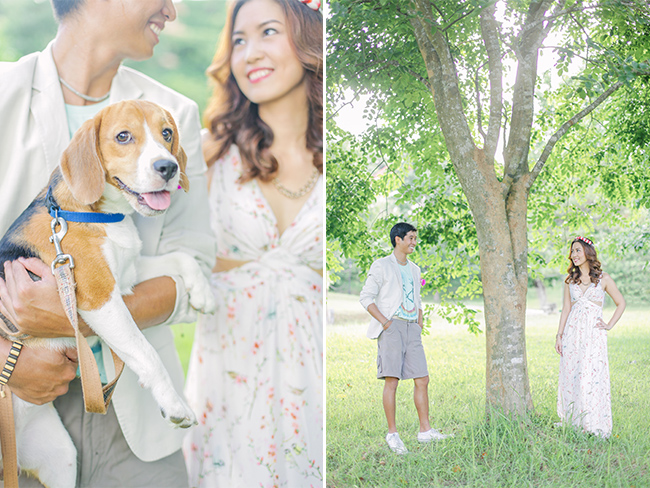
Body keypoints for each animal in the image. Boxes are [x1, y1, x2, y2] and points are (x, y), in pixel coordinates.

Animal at [0, 100, 215, 488]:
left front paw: (203, 293)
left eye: (167, 133)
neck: (99, 213)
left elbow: (183, 258)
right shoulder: (101, 298)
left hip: (60, 459)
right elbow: (146, 353)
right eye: (123, 136)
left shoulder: (127, 274)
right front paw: (175, 405)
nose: (168, 167)